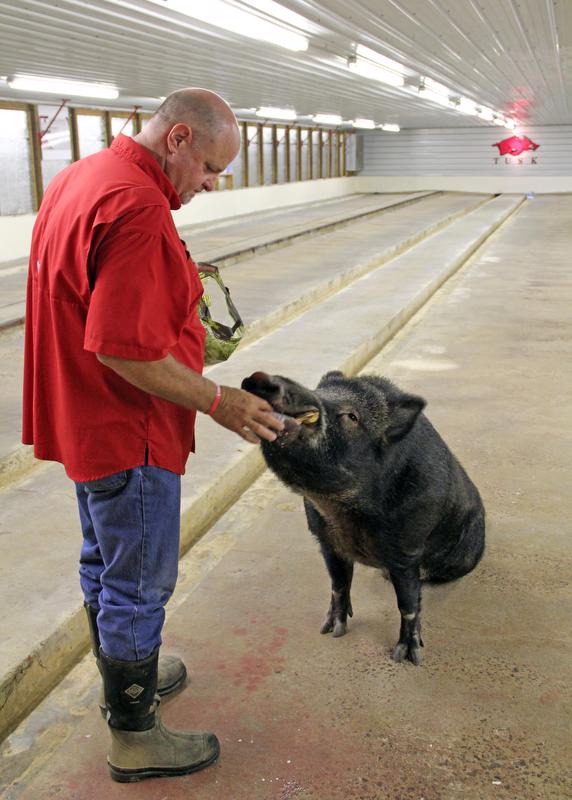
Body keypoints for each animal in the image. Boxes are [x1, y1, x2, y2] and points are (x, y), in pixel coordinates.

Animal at [241, 372, 488, 664]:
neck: (343, 511)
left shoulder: (407, 549)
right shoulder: (326, 539)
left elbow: (407, 603)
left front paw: (406, 657)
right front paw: (332, 631)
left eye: (352, 416)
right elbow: (338, 583)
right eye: (318, 389)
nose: (259, 378)